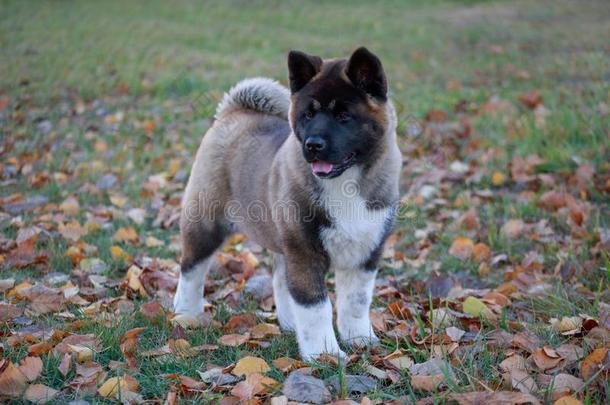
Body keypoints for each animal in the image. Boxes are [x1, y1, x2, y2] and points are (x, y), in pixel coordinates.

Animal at [172, 47, 400, 360]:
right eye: (308, 114)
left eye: (344, 115)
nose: (313, 145)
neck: (345, 182)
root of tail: (232, 111)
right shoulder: (305, 253)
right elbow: (316, 308)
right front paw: (325, 355)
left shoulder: (366, 250)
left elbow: (356, 301)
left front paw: (360, 340)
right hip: (207, 222)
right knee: (191, 268)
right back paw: (186, 314)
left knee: (280, 280)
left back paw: (290, 324)